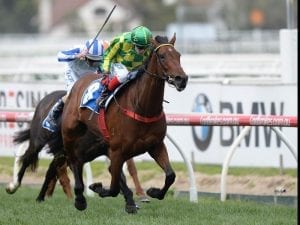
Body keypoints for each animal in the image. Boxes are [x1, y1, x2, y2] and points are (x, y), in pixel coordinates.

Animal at [6, 90, 137, 213]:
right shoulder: (75, 155)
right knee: (27, 158)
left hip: (59, 153)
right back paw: (13, 186)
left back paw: (40, 197)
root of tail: (44, 99)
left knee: (50, 171)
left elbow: (117, 175)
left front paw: (130, 202)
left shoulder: (108, 151)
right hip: (38, 140)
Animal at [61, 33, 188, 211]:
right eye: (162, 56)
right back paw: (79, 197)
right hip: (70, 132)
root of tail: (81, 80)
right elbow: (113, 188)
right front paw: (98, 188)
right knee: (73, 160)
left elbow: (171, 175)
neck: (142, 107)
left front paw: (154, 191)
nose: (181, 79)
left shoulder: (156, 145)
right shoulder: (117, 150)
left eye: (178, 55)